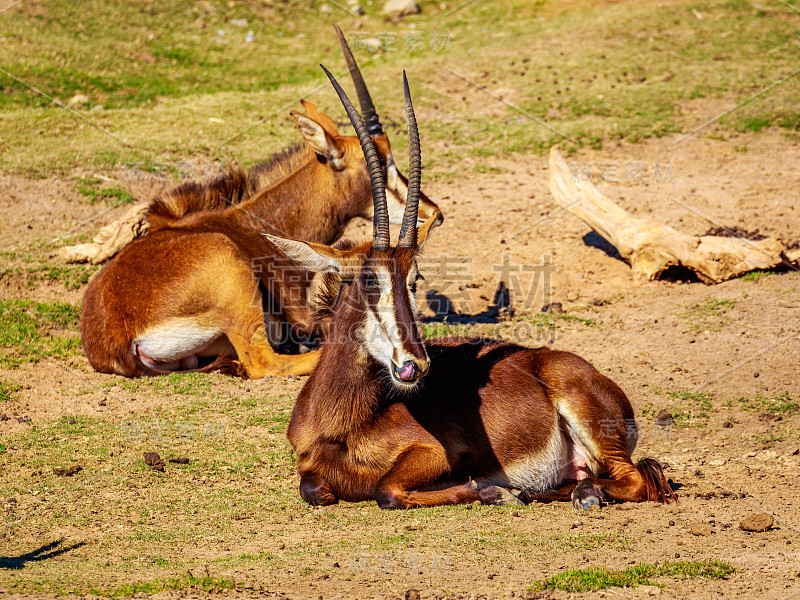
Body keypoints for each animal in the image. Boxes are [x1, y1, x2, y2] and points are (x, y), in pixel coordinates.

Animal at [81, 27, 444, 380]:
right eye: (381, 165)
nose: (435, 213)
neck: (259, 223)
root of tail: (117, 339)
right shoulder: (303, 314)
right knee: (265, 362)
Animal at [268, 70, 676, 510]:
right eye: (369, 279)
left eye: (414, 279)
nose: (415, 365)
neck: (341, 424)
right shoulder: (308, 467)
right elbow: (314, 489)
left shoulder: (434, 452)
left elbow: (386, 489)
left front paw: (493, 489)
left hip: (597, 432)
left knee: (635, 480)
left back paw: (572, 493)